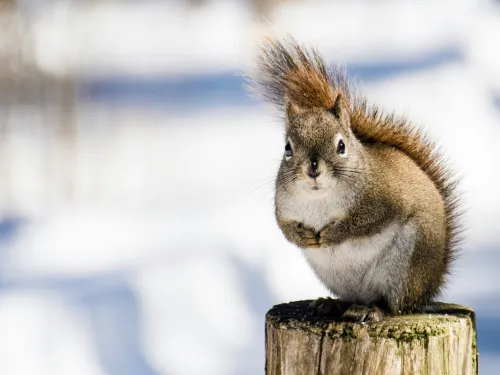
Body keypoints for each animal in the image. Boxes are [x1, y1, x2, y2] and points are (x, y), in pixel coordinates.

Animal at [252, 38, 462, 324]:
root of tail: (430, 287)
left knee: (395, 304)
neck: (320, 198)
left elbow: (364, 222)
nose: (313, 168)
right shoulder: (283, 205)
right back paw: (331, 304)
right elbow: (283, 225)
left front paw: (332, 234)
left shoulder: (384, 201)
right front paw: (302, 235)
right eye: (287, 148)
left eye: (341, 146)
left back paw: (373, 309)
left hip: (406, 267)